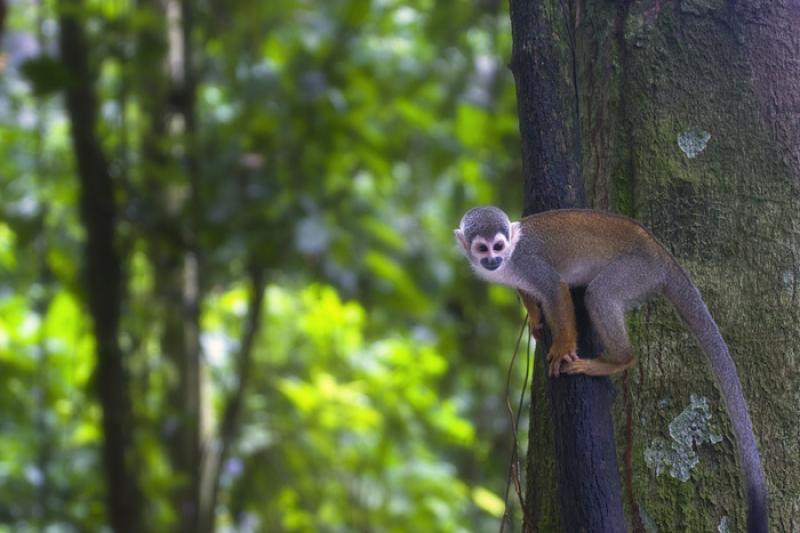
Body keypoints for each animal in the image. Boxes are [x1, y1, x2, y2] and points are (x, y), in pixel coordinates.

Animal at [456, 205, 768, 532]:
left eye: (498, 246)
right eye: (482, 248)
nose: (492, 260)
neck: (509, 261)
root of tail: (660, 252)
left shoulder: (529, 264)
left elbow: (555, 289)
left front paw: (563, 348)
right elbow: (531, 293)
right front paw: (535, 317)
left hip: (638, 271)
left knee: (600, 294)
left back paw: (619, 359)